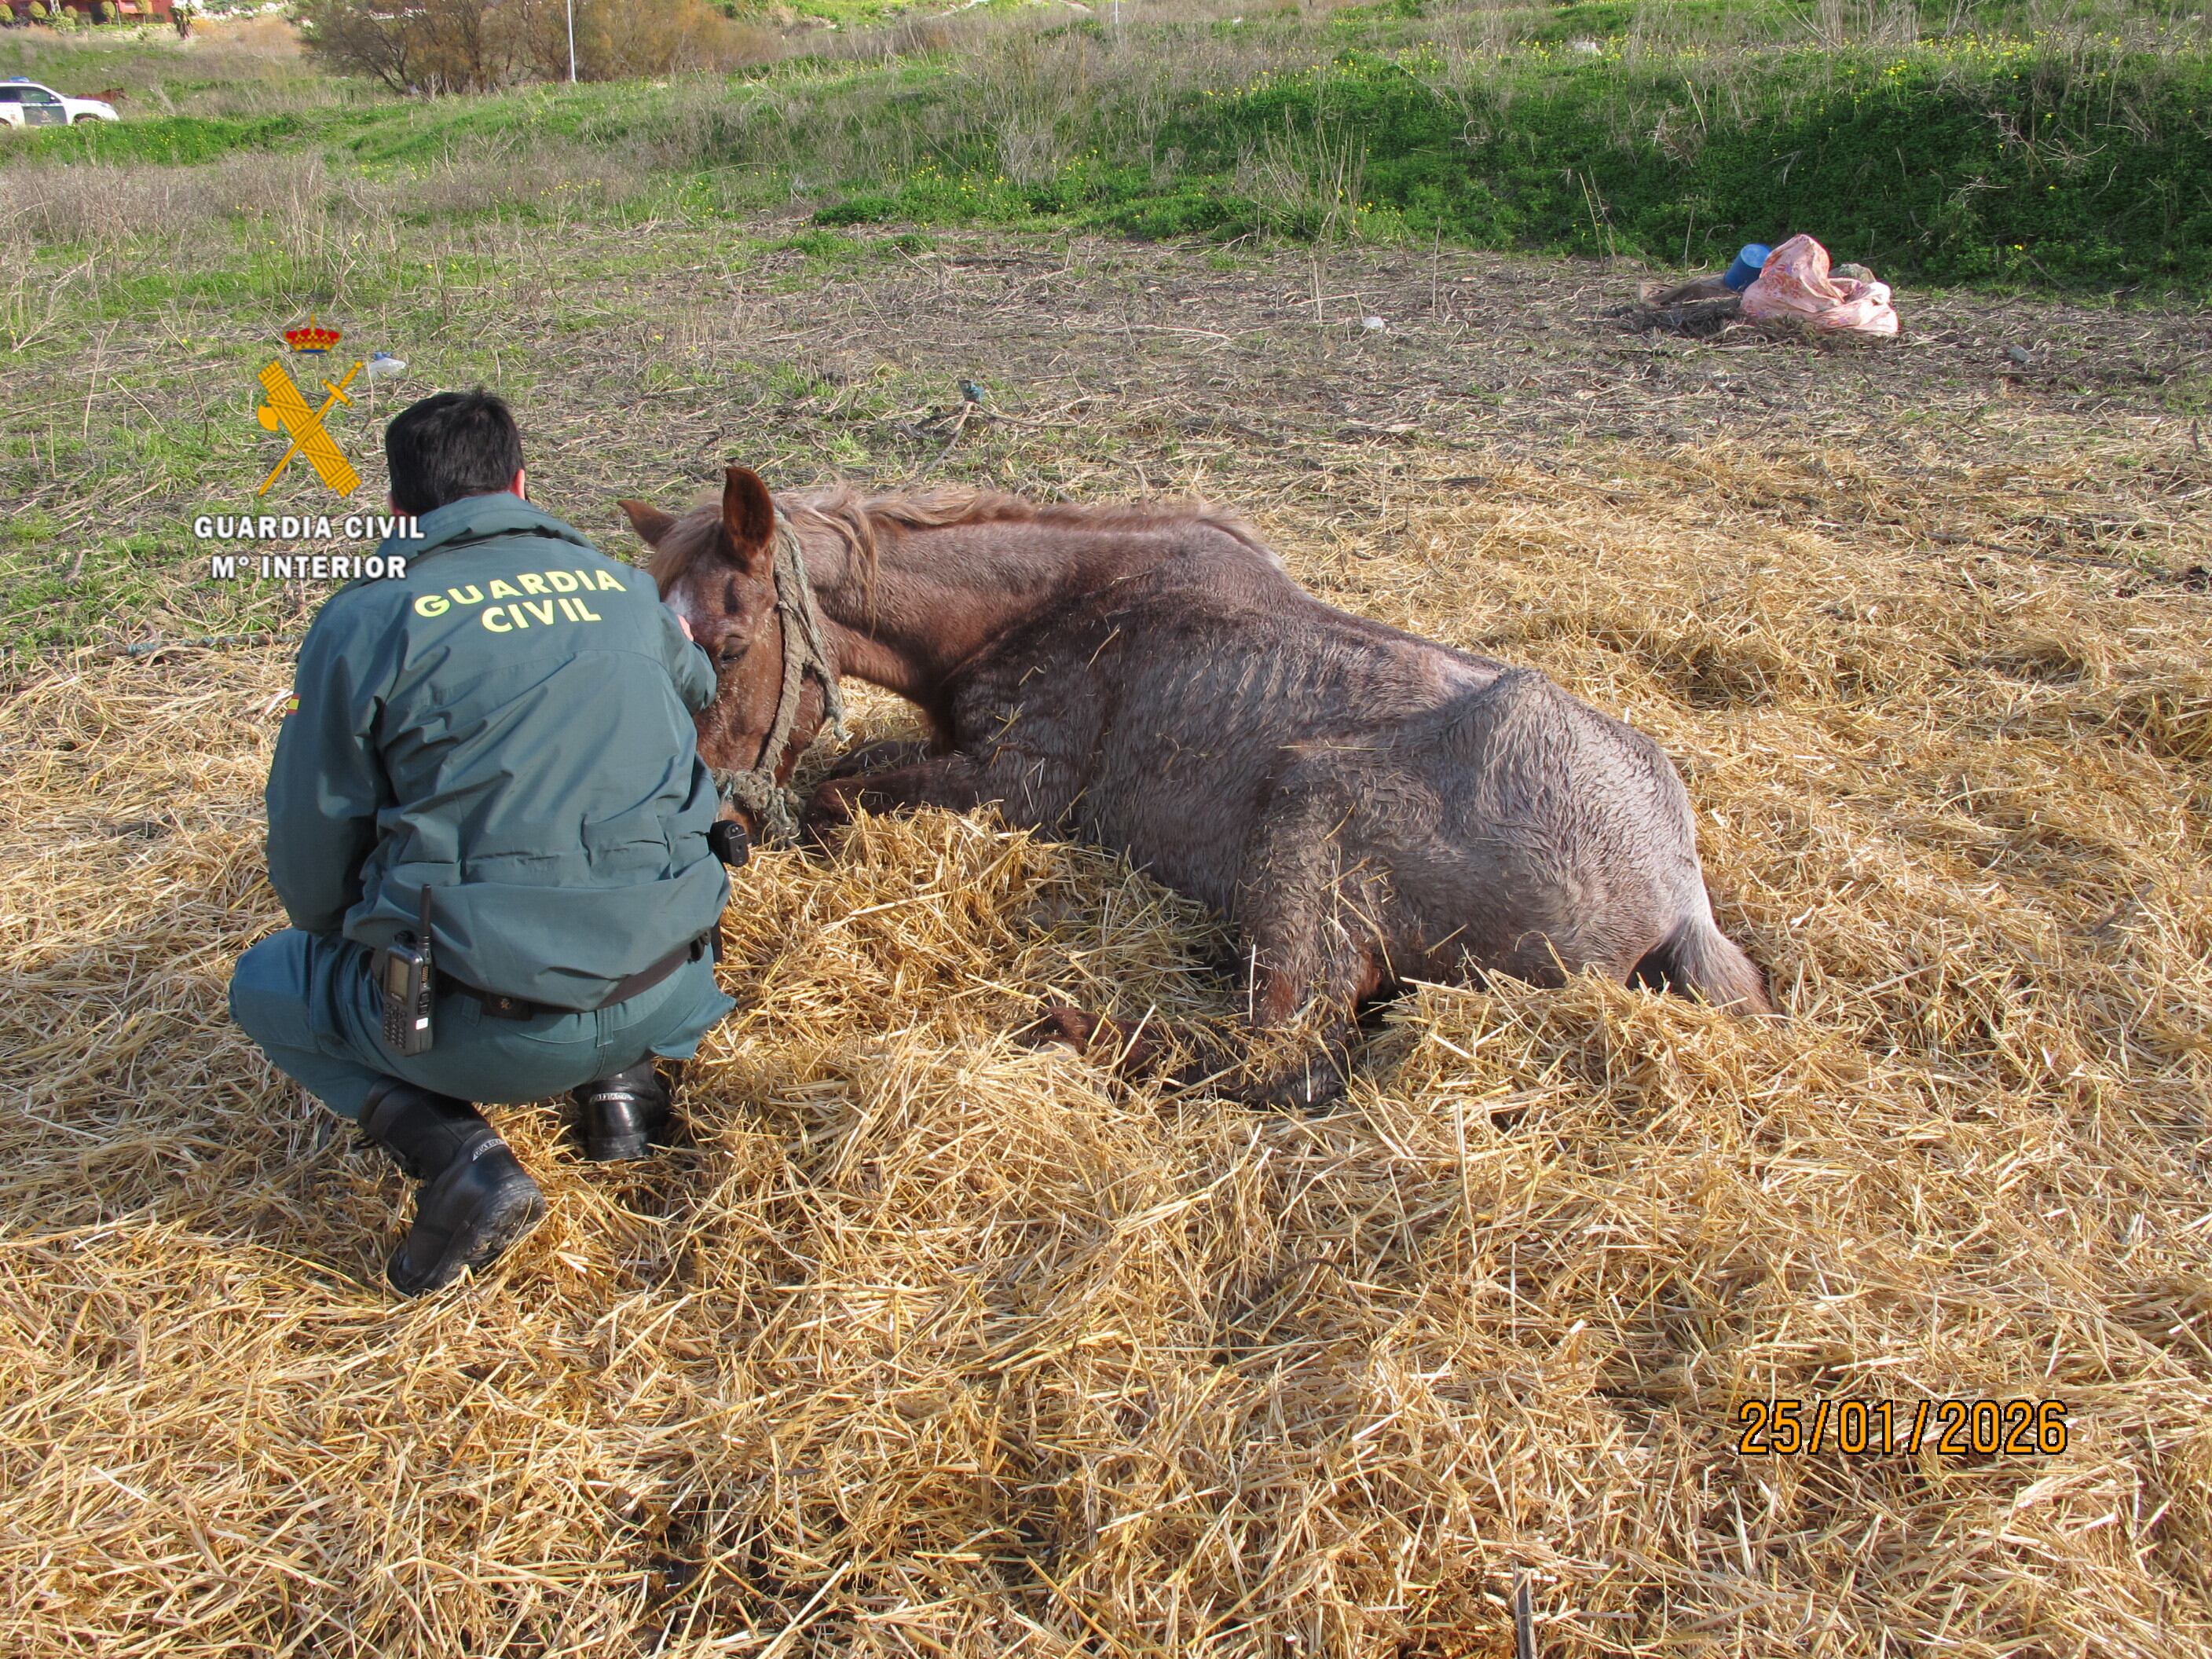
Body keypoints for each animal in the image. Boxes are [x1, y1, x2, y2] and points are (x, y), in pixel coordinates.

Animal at [620, 467, 1772, 1106]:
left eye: (728, 646)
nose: (712, 831)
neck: (1045, 608)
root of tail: (1676, 896)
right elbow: (849, 772)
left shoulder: (1020, 786)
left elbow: (835, 796)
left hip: (1304, 823)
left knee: (1277, 1049)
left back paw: (1071, 1029)